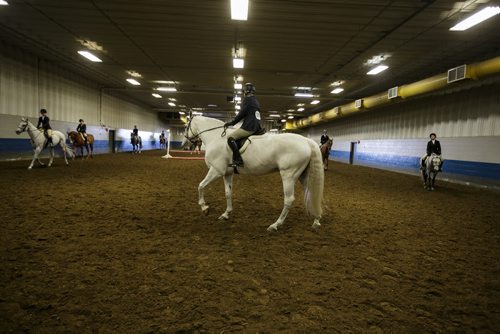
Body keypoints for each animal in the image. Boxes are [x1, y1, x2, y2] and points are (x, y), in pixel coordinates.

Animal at [183, 116, 324, 231]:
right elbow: (228, 193)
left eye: (187, 126)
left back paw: (275, 225)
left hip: (288, 175)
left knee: (289, 199)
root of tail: (306, 141)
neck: (216, 137)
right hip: (303, 176)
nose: (185, 143)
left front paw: (204, 208)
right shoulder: (227, 173)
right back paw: (316, 221)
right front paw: (226, 214)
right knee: (312, 193)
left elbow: (200, 186)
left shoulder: (216, 170)